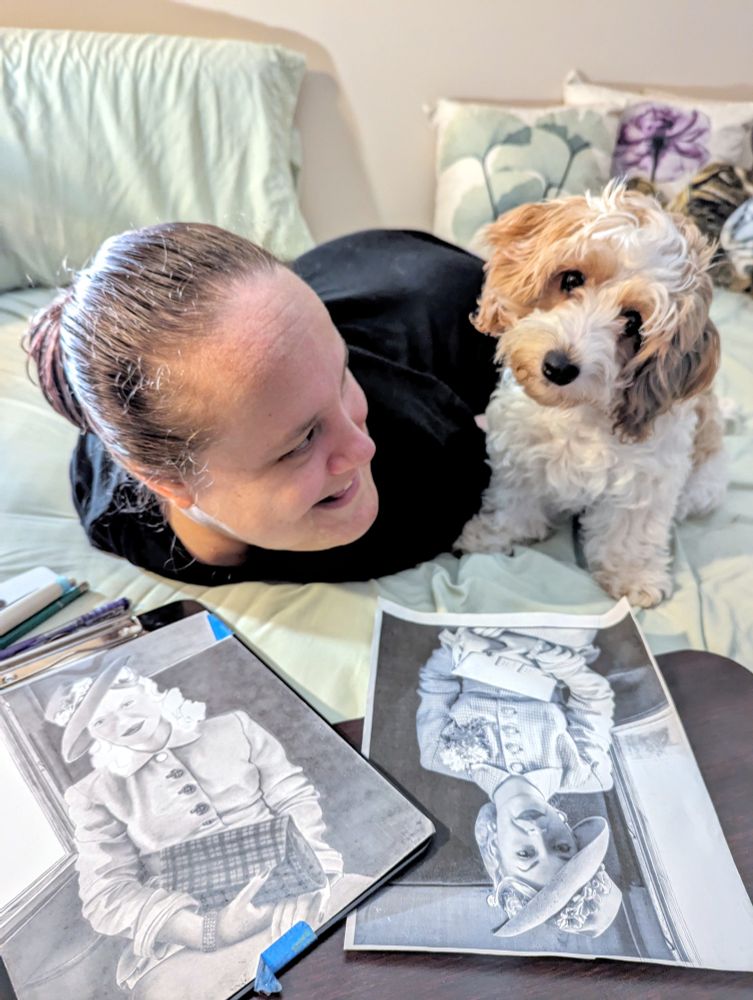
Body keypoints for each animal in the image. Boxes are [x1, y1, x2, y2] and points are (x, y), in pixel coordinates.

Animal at [456, 181, 726, 608]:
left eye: (633, 323)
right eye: (570, 280)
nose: (558, 367)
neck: (578, 413)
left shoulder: (647, 479)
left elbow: (629, 530)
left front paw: (632, 576)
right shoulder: (520, 450)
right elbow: (514, 500)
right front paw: (492, 535)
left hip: (704, 484)